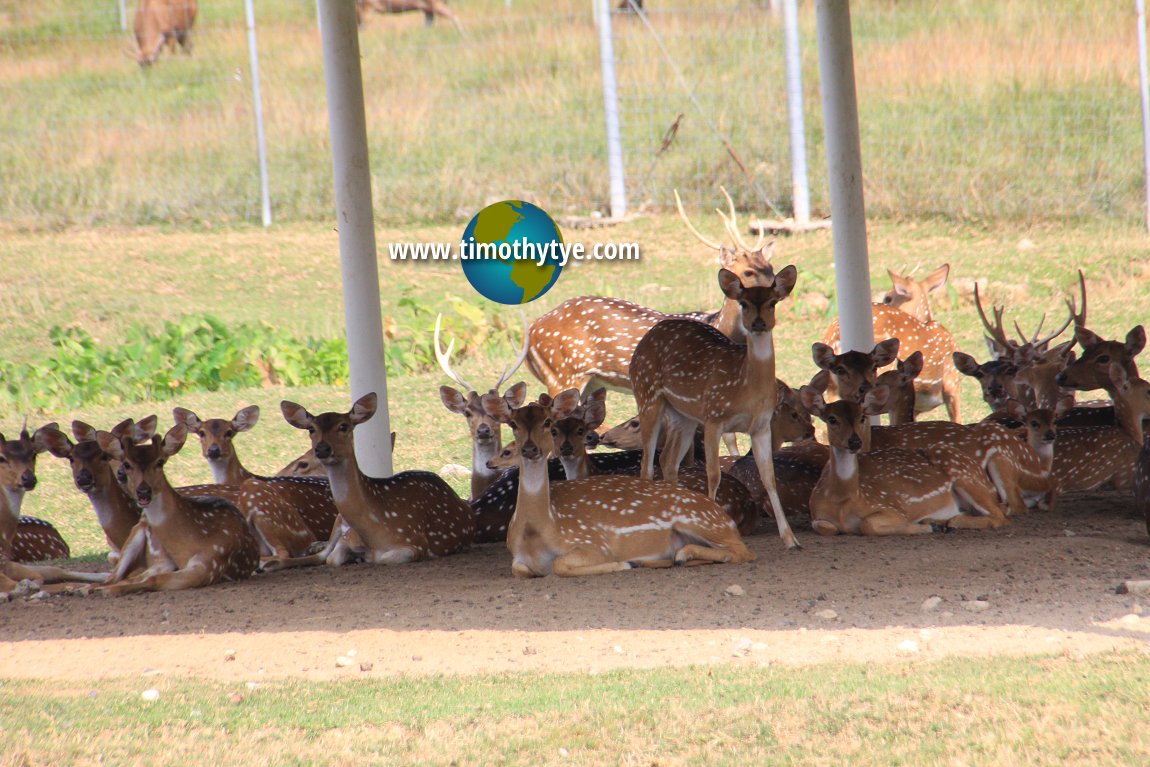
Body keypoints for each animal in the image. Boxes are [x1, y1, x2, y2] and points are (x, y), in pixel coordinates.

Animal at [93, 425, 261, 593]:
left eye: (160, 462)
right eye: (127, 464)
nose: (143, 491)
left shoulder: (210, 564)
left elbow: (153, 579)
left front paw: (108, 591)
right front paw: (101, 589)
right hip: (138, 532)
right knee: (115, 576)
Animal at [280, 395, 473, 563]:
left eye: (344, 426)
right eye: (311, 429)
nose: (322, 449)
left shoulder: (416, 542)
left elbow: (384, 558)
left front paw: (363, 557)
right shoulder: (347, 537)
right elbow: (333, 558)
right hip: (338, 520)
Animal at [478, 384, 754, 574]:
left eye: (547, 422)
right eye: (513, 424)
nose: (529, 449)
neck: (538, 528)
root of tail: (728, 516)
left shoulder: (593, 543)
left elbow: (559, 565)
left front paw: (623, 564)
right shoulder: (517, 559)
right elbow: (520, 569)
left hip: (701, 521)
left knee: (744, 552)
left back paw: (678, 555)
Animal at [630, 266, 800, 549]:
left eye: (772, 303)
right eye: (743, 303)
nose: (758, 323)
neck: (745, 388)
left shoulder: (761, 425)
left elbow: (769, 477)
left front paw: (791, 539)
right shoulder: (714, 416)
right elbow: (713, 474)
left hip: (683, 416)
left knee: (668, 461)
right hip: (647, 395)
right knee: (647, 465)